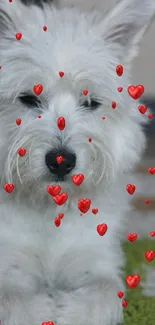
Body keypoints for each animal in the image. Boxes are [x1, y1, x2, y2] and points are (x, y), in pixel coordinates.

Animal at [0, 0, 154, 322]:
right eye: (29, 99)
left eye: (91, 103)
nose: (61, 162)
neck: (49, 208)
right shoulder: (7, 262)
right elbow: (13, 300)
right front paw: (41, 310)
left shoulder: (96, 259)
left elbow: (105, 292)